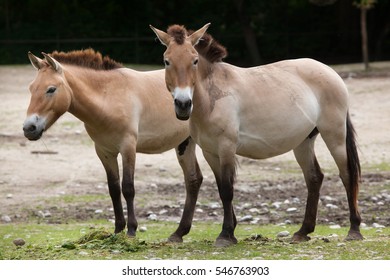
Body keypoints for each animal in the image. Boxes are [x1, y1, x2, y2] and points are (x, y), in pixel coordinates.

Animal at [23, 48, 204, 241]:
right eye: (31, 88)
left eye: (51, 89)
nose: (29, 128)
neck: (109, 97)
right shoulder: (104, 152)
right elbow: (114, 189)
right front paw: (117, 230)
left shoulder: (128, 148)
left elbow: (128, 188)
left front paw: (131, 230)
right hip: (185, 144)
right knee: (193, 180)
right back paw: (179, 233)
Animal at [151, 24, 364, 247]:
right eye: (166, 61)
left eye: (195, 61)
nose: (183, 104)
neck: (212, 97)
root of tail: (331, 72)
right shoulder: (211, 152)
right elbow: (221, 188)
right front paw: (229, 231)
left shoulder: (226, 148)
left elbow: (227, 189)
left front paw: (226, 235)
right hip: (303, 142)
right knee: (314, 178)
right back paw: (303, 231)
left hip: (335, 135)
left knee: (347, 174)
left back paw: (354, 230)